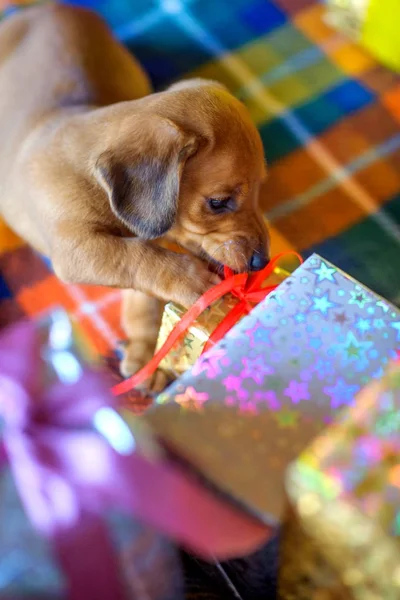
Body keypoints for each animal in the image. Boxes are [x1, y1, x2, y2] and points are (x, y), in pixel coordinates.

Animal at [0, 3, 270, 390]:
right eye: (217, 202)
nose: (262, 261)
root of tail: (42, 9)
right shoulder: (75, 249)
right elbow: (136, 257)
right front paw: (190, 280)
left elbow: (143, 293)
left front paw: (145, 355)